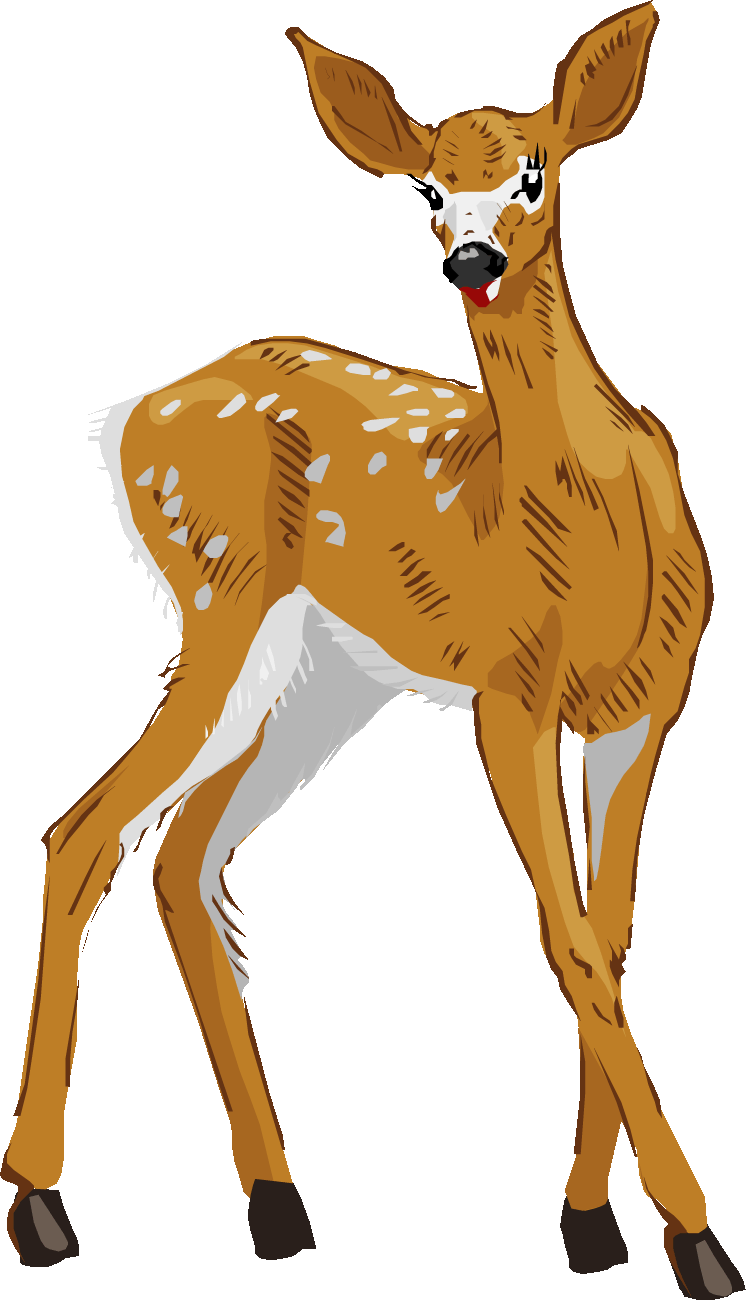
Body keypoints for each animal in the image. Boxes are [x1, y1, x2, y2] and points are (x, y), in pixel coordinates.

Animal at [1, 4, 744, 1294]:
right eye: (427, 187)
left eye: (534, 170)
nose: (472, 263)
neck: (583, 526)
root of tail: (124, 422)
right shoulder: (509, 691)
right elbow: (565, 936)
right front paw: (691, 1232)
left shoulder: (652, 705)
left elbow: (614, 934)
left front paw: (592, 1220)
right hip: (226, 606)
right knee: (85, 830)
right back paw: (42, 1200)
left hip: (316, 682)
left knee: (182, 856)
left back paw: (276, 1200)